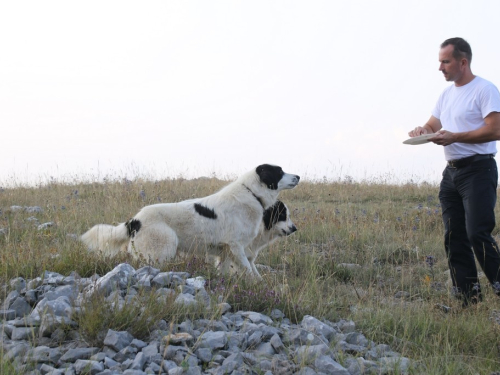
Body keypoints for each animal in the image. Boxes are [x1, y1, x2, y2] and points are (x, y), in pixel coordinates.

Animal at [81, 165, 298, 280]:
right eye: (279, 171)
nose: (298, 175)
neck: (252, 194)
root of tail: (135, 220)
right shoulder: (237, 247)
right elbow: (249, 270)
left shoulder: (227, 251)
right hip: (163, 250)